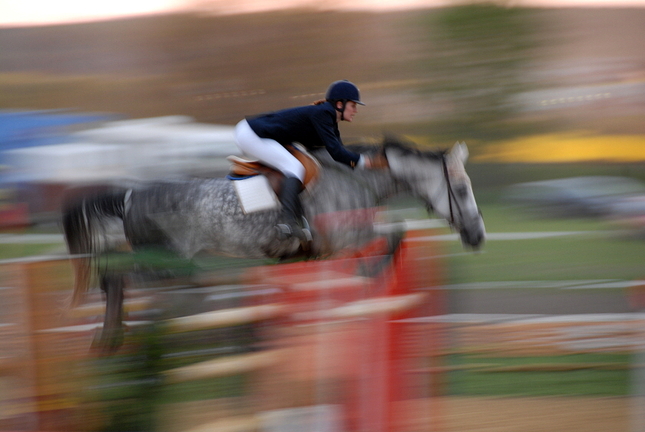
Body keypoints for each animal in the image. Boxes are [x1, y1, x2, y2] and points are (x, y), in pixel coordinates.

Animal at [63, 136, 484, 354]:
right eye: (462, 190)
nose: (478, 237)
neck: (357, 180)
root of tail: (130, 195)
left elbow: (395, 232)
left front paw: (369, 277)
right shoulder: (346, 237)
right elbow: (395, 233)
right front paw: (370, 275)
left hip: (175, 267)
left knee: (126, 281)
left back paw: (116, 336)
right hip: (164, 263)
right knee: (115, 279)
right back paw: (109, 339)